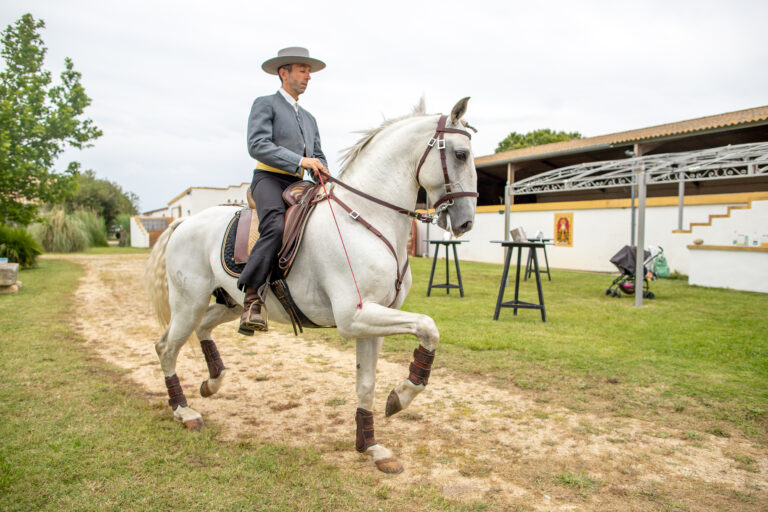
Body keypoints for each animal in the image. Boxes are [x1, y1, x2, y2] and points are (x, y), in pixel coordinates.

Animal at [146, 96, 476, 472]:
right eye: (461, 154)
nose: (466, 222)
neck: (366, 218)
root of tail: (184, 222)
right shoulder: (354, 317)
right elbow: (428, 327)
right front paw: (401, 397)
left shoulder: (374, 318)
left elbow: (367, 383)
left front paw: (371, 446)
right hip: (189, 302)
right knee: (166, 348)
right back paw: (184, 411)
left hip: (228, 303)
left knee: (202, 328)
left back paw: (212, 383)